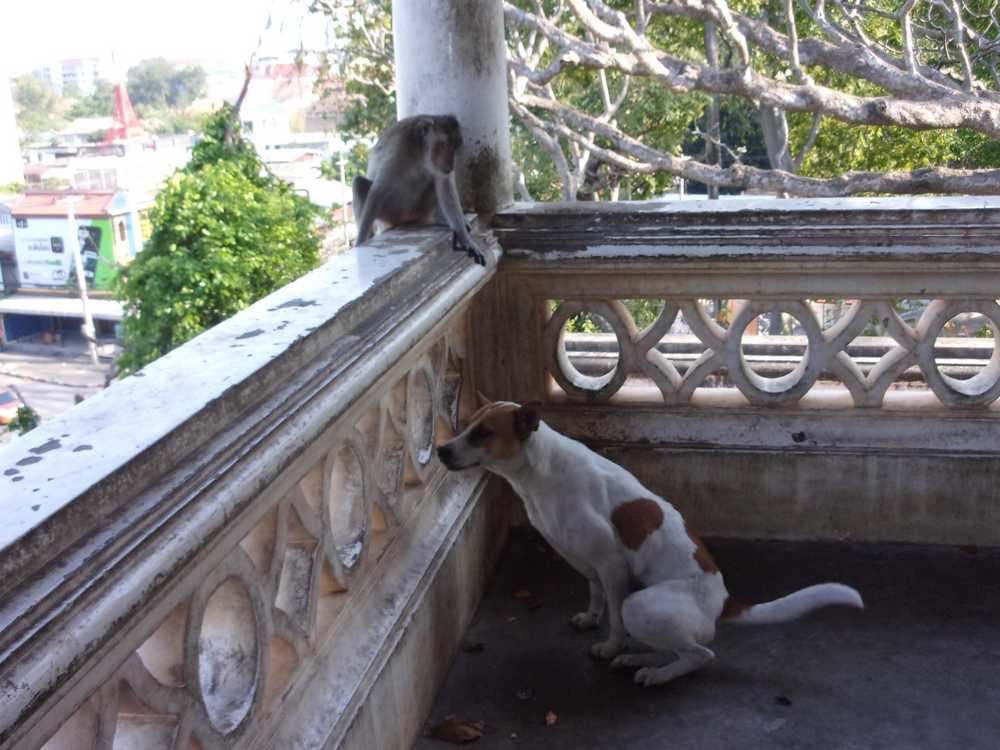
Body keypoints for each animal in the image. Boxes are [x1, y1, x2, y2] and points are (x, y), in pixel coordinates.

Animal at [352, 114, 486, 266]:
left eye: (455, 147)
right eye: (444, 145)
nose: (451, 165)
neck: (420, 153)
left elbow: (445, 186)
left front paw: (465, 238)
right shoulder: (398, 150)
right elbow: (378, 191)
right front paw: (360, 242)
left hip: (419, 210)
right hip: (390, 213)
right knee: (359, 183)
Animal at [437, 400, 863, 687]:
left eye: (484, 433)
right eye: (466, 425)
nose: (441, 450)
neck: (538, 473)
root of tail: (723, 601)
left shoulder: (611, 566)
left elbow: (613, 619)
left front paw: (609, 646)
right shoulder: (588, 563)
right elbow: (595, 596)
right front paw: (590, 618)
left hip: (640, 604)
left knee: (699, 653)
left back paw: (657, 674)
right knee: (674, 646)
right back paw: (641, 660)